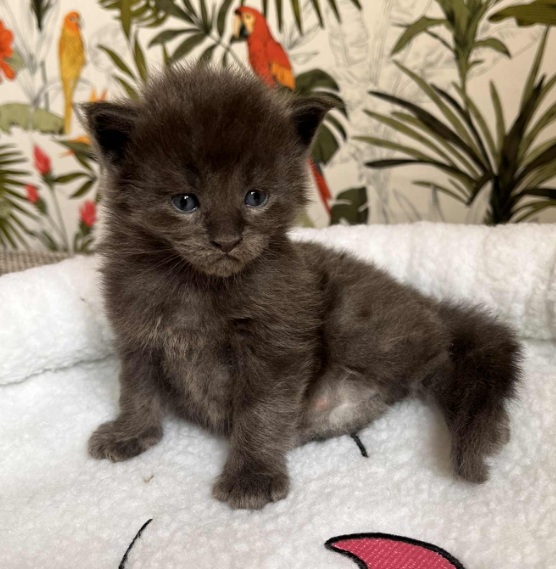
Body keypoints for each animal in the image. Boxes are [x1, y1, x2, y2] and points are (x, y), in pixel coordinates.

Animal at [82, 65, 521, 510]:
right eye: (185, 202)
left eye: (255, 196)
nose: (227, 240)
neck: (198, 284)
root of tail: (422, 299)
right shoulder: (136, 334)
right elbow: (135, 387)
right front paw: (130, 433)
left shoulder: (277, 343)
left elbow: (260, 409)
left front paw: (252, 477)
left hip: (356, 323)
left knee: (444, 354)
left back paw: (488, 426)